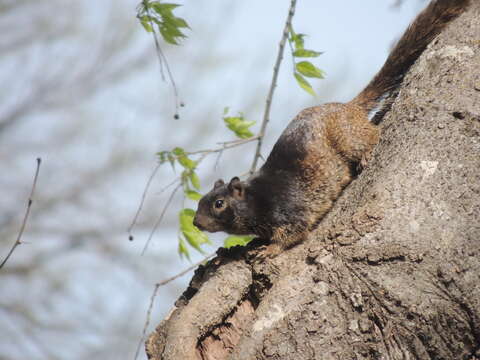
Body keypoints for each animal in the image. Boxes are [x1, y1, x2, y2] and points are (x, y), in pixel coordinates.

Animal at [192, 0, 468, 255]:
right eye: (200, 201)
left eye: (219, 203)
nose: (196, 223)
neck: (255, 198)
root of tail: (349, 107)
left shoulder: (289, 210)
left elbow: (294, 231)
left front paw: (269, 250)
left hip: (348, 136)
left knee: (371, 136)